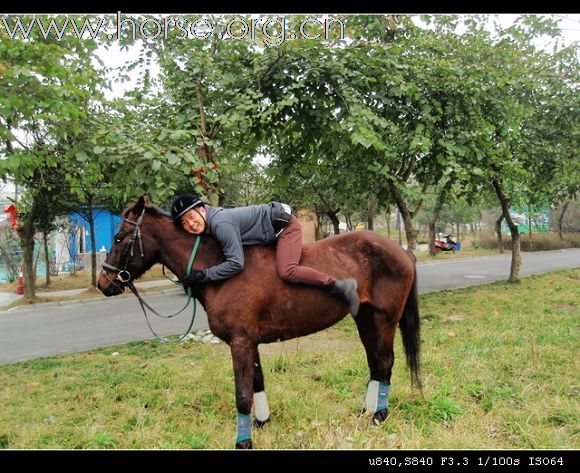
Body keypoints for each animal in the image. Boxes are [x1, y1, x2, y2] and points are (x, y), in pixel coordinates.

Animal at [97, 197, 420, 448]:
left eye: (119, 237)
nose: (103, 282)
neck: (219, 267)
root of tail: (401, 250)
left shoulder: (240, 343)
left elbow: (242, 395)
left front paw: (244, 442)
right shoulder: (248, 342)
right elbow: (257, 382)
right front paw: (262, 423)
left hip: (384, 319)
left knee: (384, 363)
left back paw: (379, 416)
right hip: (365, 319)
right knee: (374, 364)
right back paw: (366, 412)